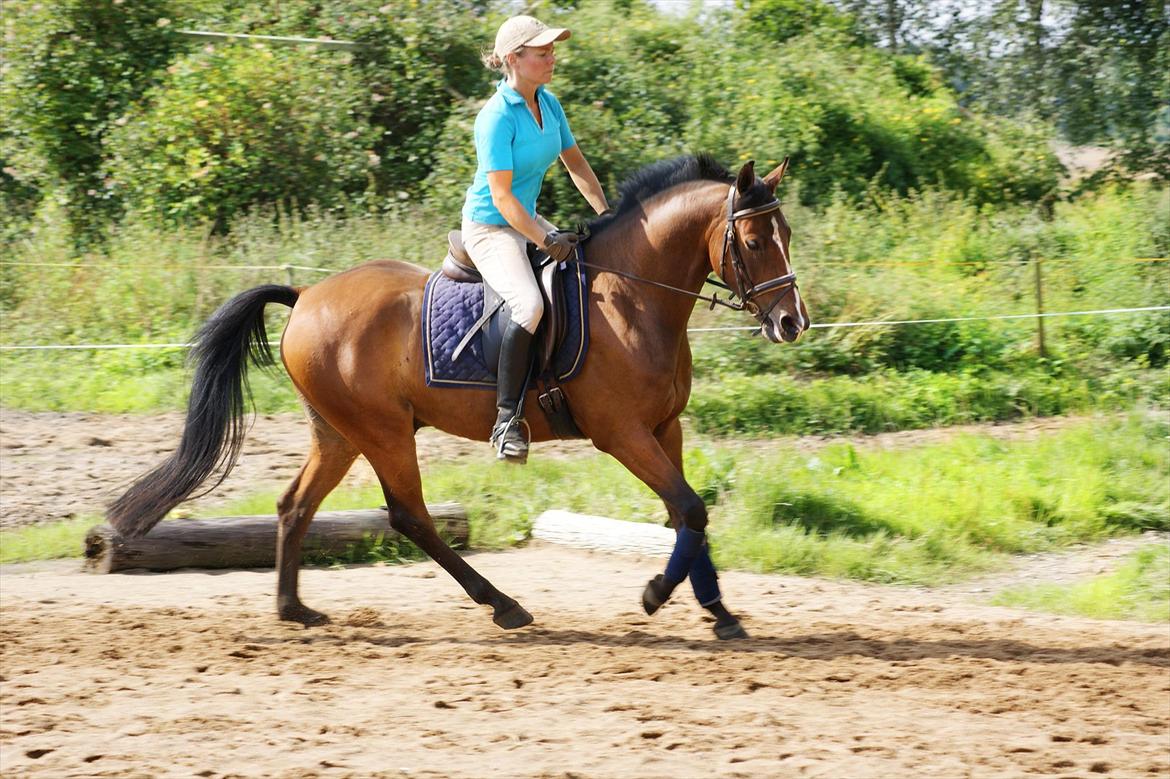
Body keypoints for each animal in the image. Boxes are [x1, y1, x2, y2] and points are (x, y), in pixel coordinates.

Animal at [107, 152, 804, 636]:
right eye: (751, 241)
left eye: (787, 235)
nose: (791, 322)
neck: (634, 296)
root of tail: (305, 297)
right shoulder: (623, 434)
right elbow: (688, 508)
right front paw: (658, 593)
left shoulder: (665, 428)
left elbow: (690, 515)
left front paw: (720, 612)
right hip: (382, 430)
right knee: (408, 515)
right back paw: (503, 605)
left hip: (338, 432)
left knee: (295, 506)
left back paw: (294, 609)